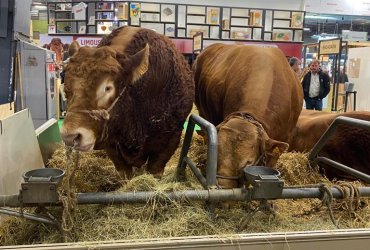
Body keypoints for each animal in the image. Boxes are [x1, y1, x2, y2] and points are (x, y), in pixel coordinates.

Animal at [60, 26, 194, 178]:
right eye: (66, 86)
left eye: (108, 88)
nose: (70, 136)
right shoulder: (112, 146)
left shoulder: (169, 141)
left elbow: (154, 170)